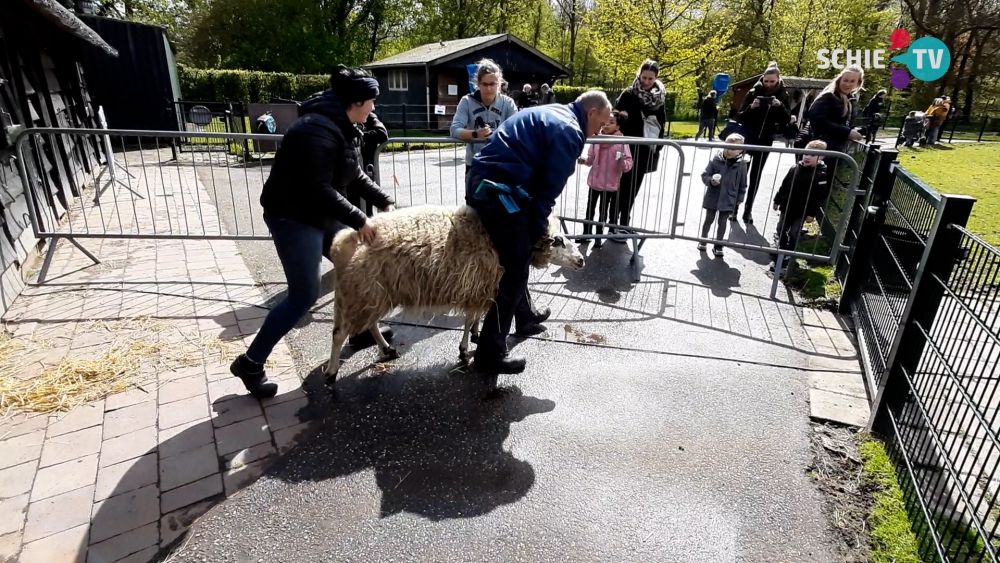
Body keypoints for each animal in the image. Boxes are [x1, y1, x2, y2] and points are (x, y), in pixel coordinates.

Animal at [324, 204, 584, 378]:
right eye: (557, 241)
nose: (581, 260)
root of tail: (343, 242)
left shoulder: (480, 286)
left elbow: (475, 316)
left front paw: (476, 334)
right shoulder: (477, 284)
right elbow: (469, 318)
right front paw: (464, 348)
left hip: (369, 293)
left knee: (369, 324)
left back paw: (387, 349)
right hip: (361, 292)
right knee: (339, 333)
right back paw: (331, 373)